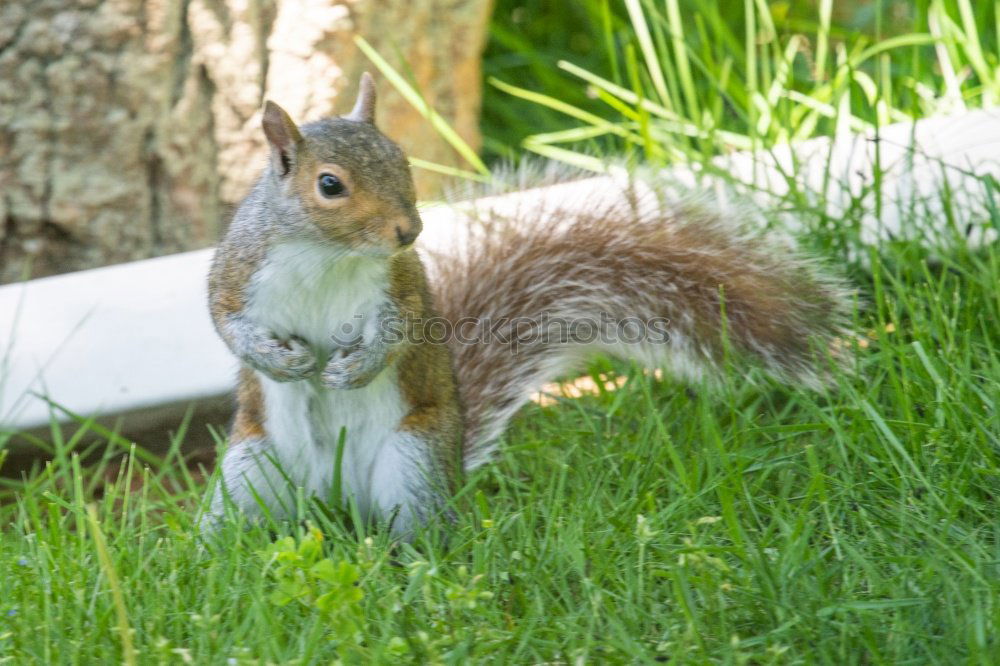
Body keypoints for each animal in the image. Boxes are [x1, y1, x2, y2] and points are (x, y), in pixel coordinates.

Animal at [201, 72, 852, 536]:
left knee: (415, 533)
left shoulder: (402, 284)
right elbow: (225, 322)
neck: (326, 254)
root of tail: (333, 501)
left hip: (410, 461)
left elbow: (403, 329)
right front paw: (275, 360)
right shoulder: (238, 269)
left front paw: (358, 367)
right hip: (248, 470)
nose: (409, 231)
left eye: (401, 158)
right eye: (330, 185)